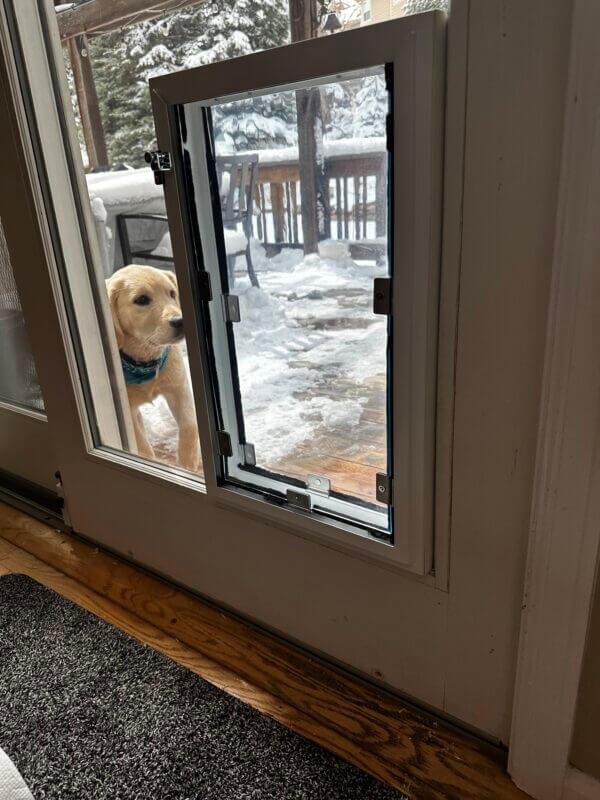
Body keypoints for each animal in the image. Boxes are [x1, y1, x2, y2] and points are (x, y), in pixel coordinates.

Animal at [106, 266, 202, 472]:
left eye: (172, 293)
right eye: (142, 300)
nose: (180, 321)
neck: (144, 362)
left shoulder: (179, 388)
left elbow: (190, 425)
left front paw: (187, 464)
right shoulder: (127, 409)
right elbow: (142, 447)